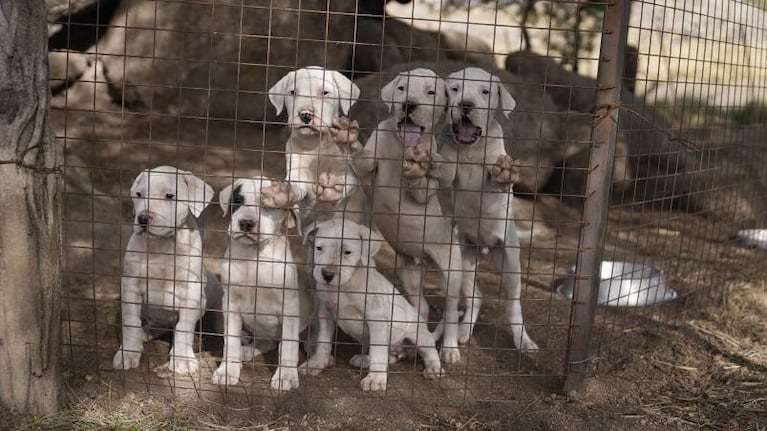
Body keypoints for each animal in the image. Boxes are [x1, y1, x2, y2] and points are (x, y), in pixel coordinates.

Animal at [111, 165, 214, 374]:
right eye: (139, 194)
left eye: (169, 196)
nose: (143, 218)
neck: (162, 245)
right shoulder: (130, 285)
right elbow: (130, 322)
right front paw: (128, 353)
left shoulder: (191, 289)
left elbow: (184, 326)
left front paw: (182, 359)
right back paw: (143, 334)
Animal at [212, 177, 314, 394]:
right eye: (238, 200)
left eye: (268, 206)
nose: (246, 223)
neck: (254, 257)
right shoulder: (230, 303)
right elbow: (230, 340)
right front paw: (228, 371)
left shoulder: (289, 306)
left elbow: (289, 346)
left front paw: (285, 376)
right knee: (265, 342)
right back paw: (248, 350)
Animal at [264, 66, 366, 228]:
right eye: (293, 92)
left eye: (325, 93)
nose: (305, 115)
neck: (315, 145)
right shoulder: (297, 170)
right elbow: (295, 186)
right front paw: (282, 193)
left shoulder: (347, 171)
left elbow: (348, 179)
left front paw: (345, 135)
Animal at [302, 219, 444, 392]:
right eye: (319, 248)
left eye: (347, 252)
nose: (327, 275)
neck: (344, 287)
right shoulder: (325, 313)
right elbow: (323, 342)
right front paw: (316, 363)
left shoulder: (377, 320)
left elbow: (378, 350)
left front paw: (375, 379)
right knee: (389, 356)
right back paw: (366, 359)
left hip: (417, 333)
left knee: (429, 349)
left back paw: (433, 368)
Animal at [438, 66, 540, 352]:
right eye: (454, 89)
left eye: (485, 92)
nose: (466, 105)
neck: (471, 149)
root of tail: (484, 250)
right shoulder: (450, 165)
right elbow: (446, 169)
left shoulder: (492, 173)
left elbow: (497, 179)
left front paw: (506, 174)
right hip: (464, 261)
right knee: (475, 297)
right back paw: (462, 332)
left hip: (511, 265)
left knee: (513, 306)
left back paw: (524, 341)